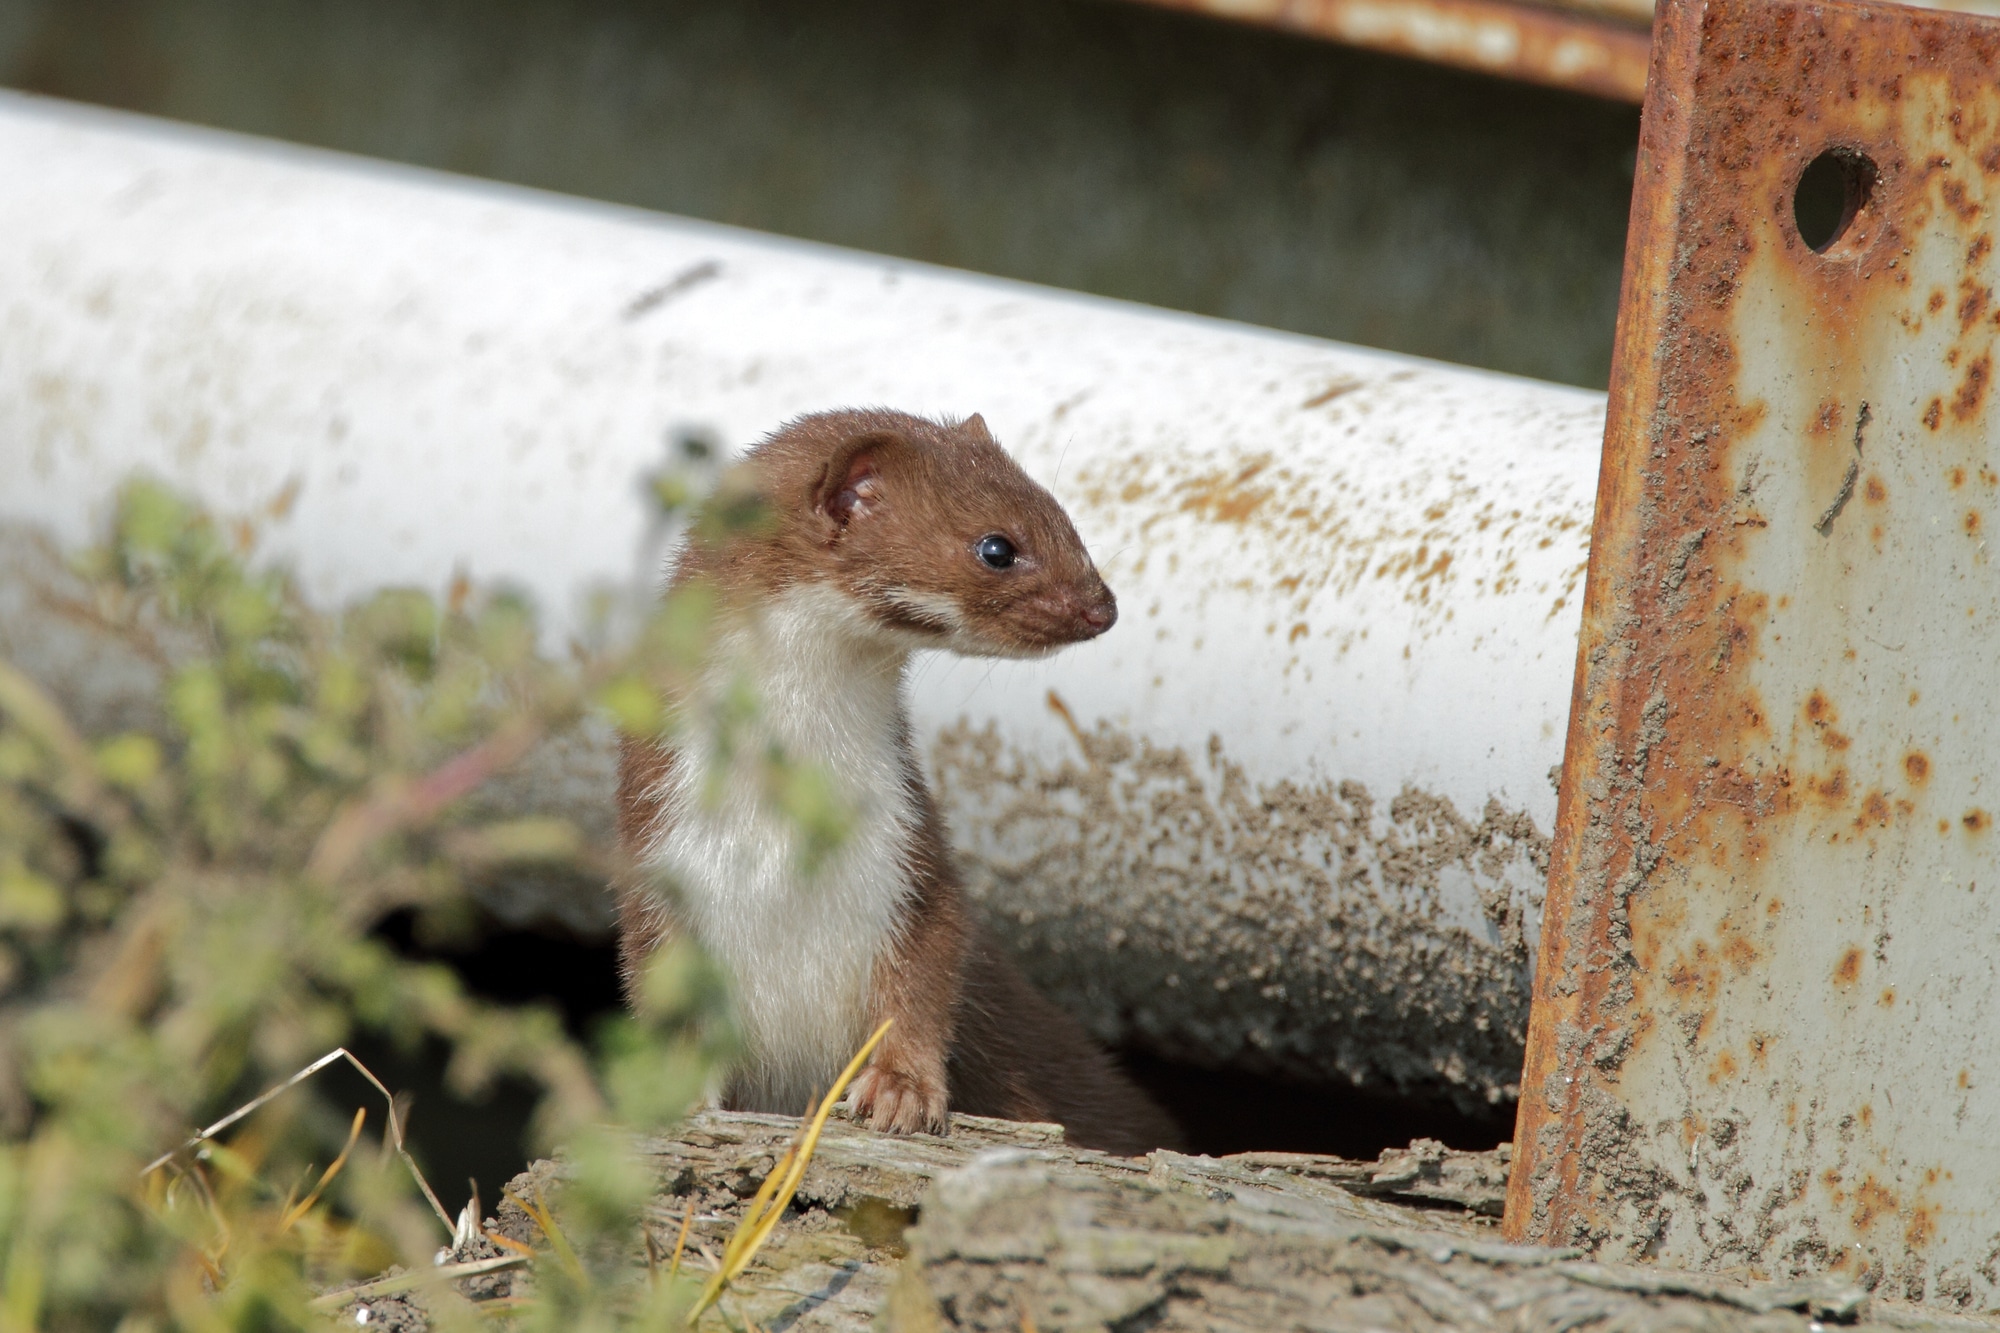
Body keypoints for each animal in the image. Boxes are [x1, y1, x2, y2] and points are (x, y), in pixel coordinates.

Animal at [616, 404, 1176, 1152]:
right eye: (997, 546)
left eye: (1063, 517)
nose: (1103, 606)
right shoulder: (657, 869)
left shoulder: (912, 861)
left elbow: (924, 981)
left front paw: (900, 1089)